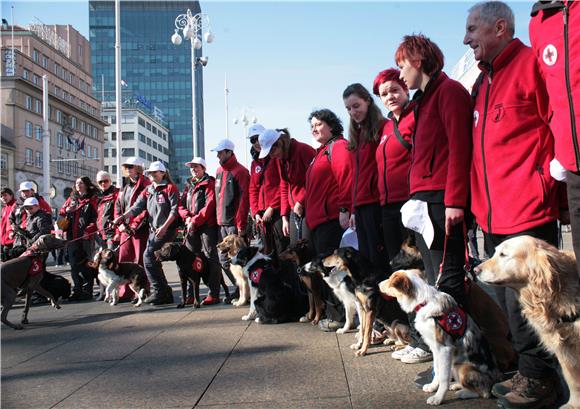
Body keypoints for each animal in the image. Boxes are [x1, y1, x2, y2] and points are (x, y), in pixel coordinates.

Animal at [380, 268, 502, 404]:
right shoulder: (435, 348)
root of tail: (496, 379)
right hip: (454, 364)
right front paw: (433, 387)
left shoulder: (444, 349)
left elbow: (443, 377)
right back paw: (456, 385)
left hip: (462, 367)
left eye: (390, 279)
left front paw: (438, 398)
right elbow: (438, 370)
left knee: (485, 392)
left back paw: (463, 393)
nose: (378, 284)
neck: (424, 302)